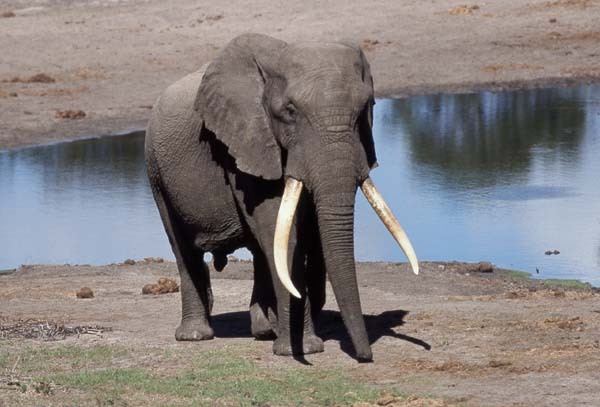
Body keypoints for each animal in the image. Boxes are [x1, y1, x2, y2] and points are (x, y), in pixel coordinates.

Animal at [145, 34, 418, 360]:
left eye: (367, 106)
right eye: (290, 111)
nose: (366, 356)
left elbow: (306, 234)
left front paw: (300, 341)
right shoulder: (244, 143)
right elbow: (280, 229)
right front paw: (302, 349)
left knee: (261, 251)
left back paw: (264, 330)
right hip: (156, 171)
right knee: (183, 248)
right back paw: (196, 335)